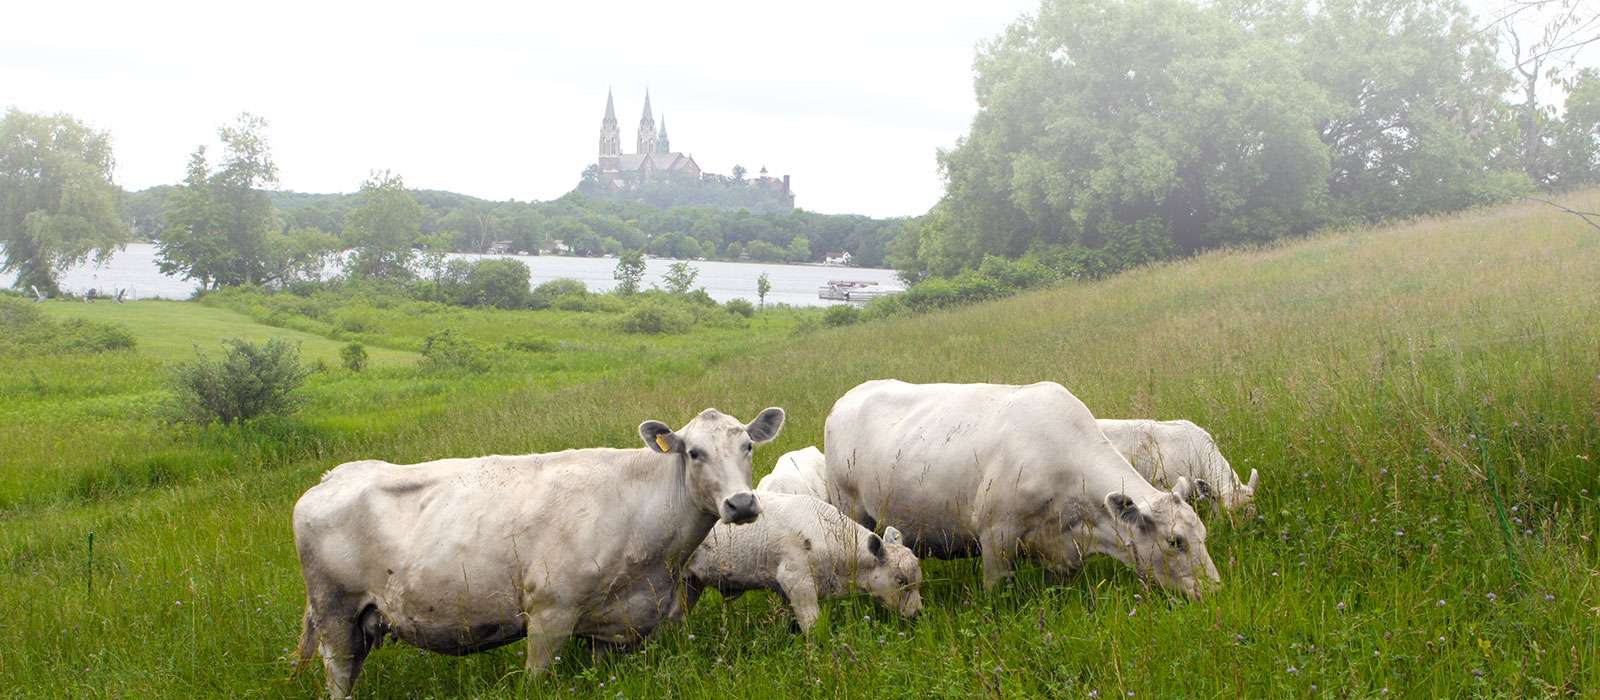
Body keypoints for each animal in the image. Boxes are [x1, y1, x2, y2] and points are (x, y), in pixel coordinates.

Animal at [292, 407, 785, 698]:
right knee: (338, 675)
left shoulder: (611, 625)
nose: (741, 503)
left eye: (747, 446)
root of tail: (333, 475)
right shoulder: (549, 613)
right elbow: (537, 678)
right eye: (695, 453)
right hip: (335, 612)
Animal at [823, 380, 1219, 597]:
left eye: (1202, 534)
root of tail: (845, 399)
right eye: (1175, 542)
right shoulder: (996, 535)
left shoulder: (1061, 551)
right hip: (849, 508)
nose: (1214, 589)